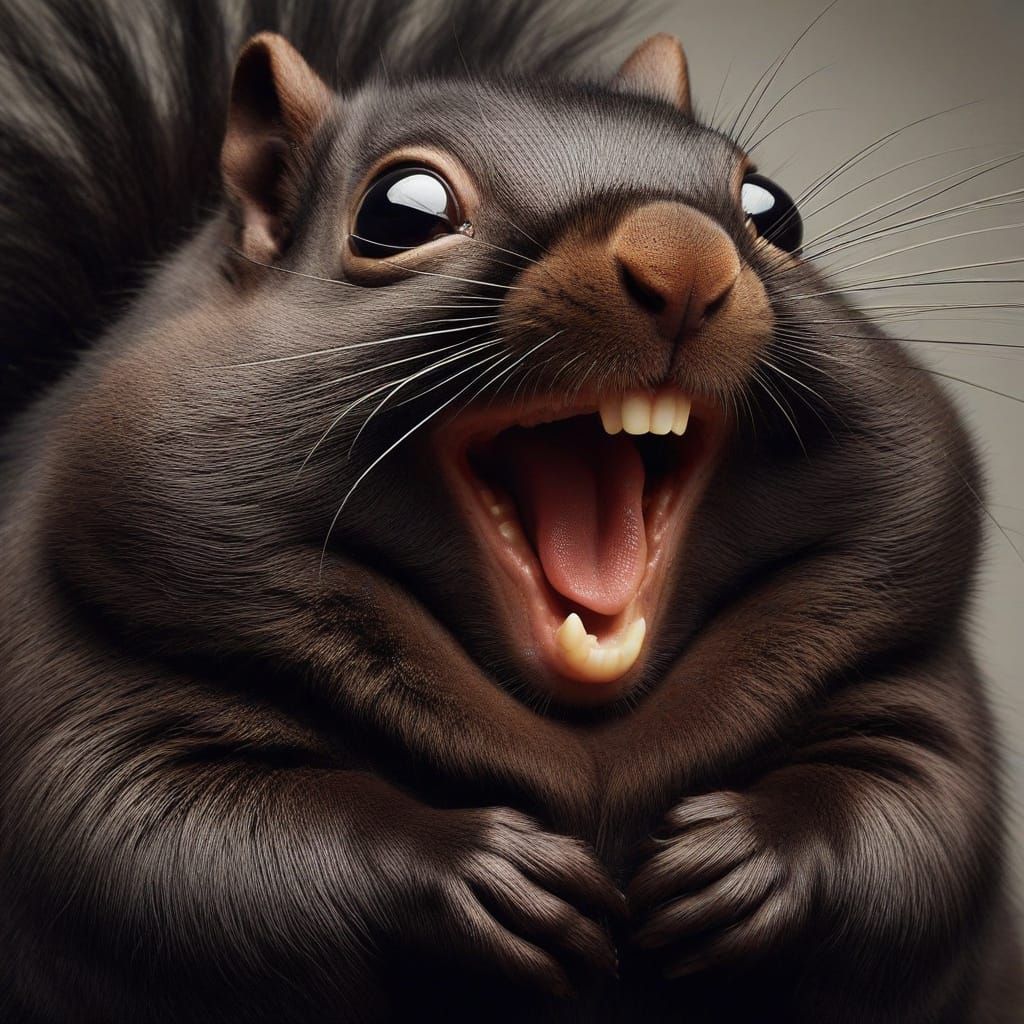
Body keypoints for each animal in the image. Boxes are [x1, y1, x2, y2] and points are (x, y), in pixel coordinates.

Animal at [1, 1, 1020, 1021]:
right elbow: (164, 850)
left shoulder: (911, 690)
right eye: (397, 212)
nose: (684, 255)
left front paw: (747, 859)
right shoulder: (80, 703)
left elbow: (916, 825)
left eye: (775, 211)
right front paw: (477, 873)